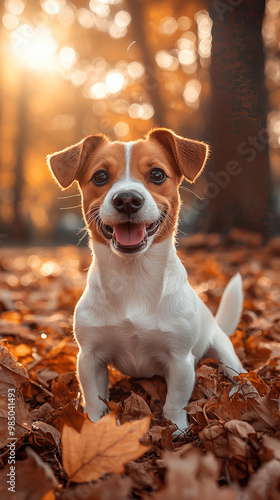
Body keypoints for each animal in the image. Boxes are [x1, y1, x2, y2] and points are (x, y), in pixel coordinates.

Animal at [47, 129, 245, 434]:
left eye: (157, 174)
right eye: (100, 176)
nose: (127, 199)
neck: (133, 278)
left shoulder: (180, 360)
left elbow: (175, 402)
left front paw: (176, 430)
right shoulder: (89, 358)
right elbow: (93, 400)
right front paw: (95, 427)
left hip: (224, 352)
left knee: (238, 376)